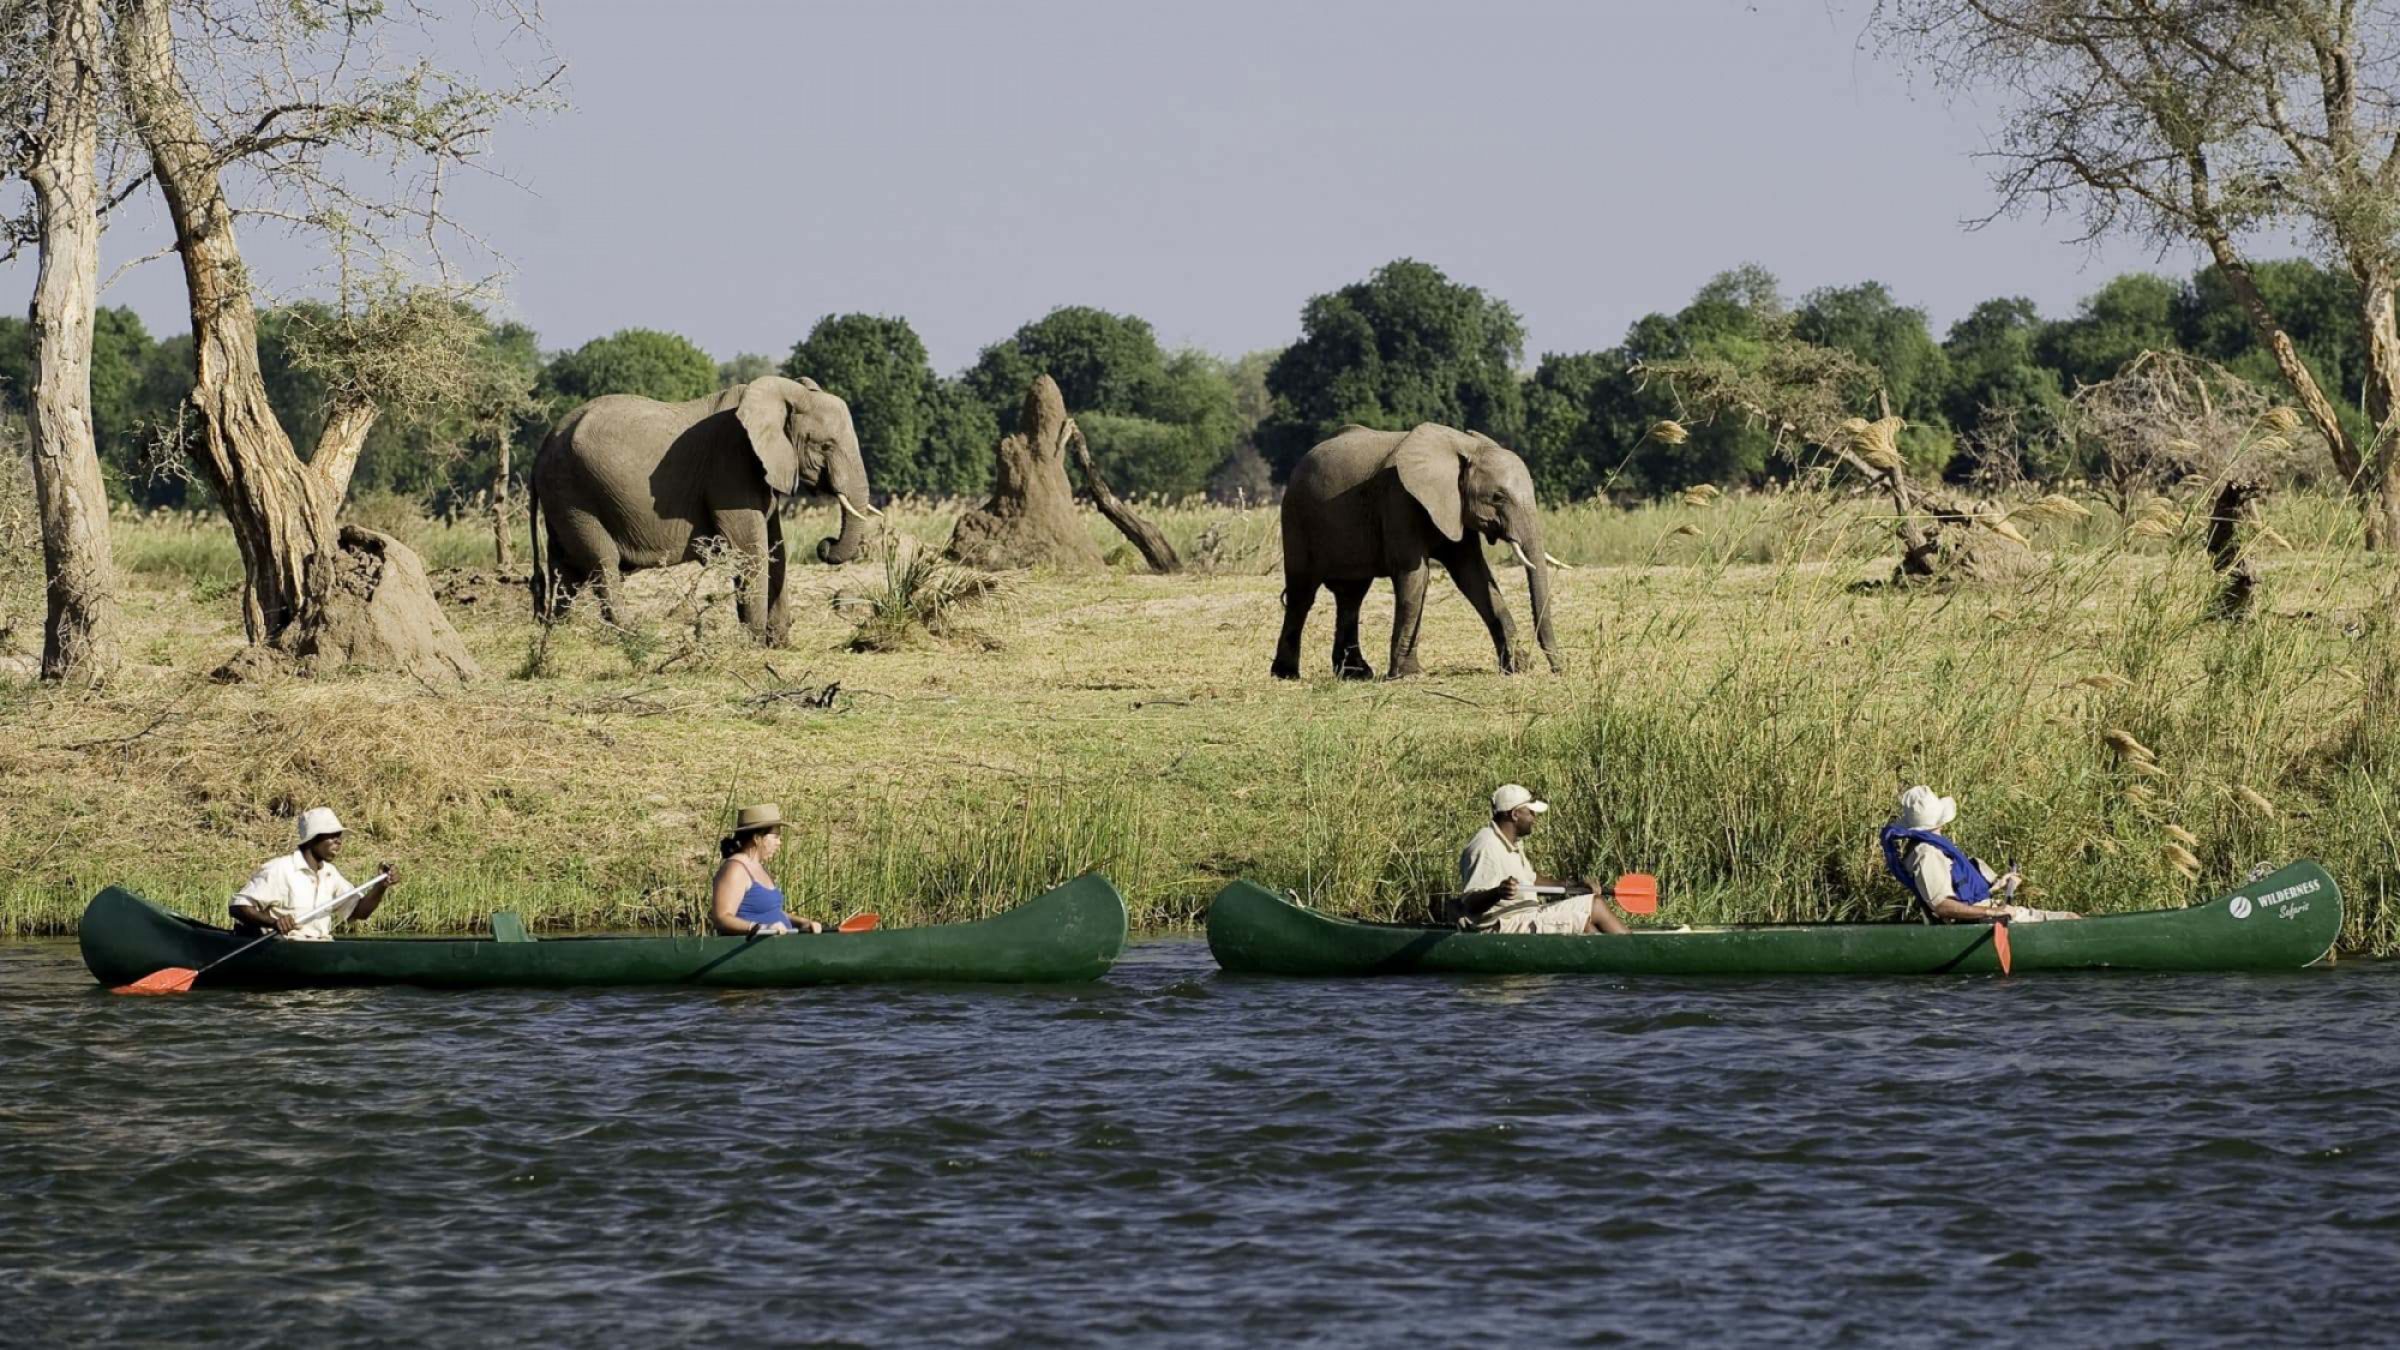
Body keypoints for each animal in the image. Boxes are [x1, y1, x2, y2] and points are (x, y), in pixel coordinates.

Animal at [525, 369, 883, 638]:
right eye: (825, 446)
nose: (825, 544)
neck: (784, 393)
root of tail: (542, 447)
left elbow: (776, 547)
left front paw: (778, 642)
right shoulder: (731, 465)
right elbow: (750, 548)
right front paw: (753, 642)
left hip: (563, 496)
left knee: (565, 567)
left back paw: (559, 633)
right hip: (574, 492)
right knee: (602, 560)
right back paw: (633, 634)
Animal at [1276, 422, 1574, 677]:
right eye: (1498, 497)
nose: (1559, 669)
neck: (1465, 446)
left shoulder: (1454, 508)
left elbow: (1475, 576)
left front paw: (1518, 667)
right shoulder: (1399, 499)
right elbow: (1415, 575)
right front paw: (1408, 674)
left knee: (1351, 595)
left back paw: (1355, 674)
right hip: (1295, 516)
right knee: (1303, 593)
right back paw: (1287, 674)